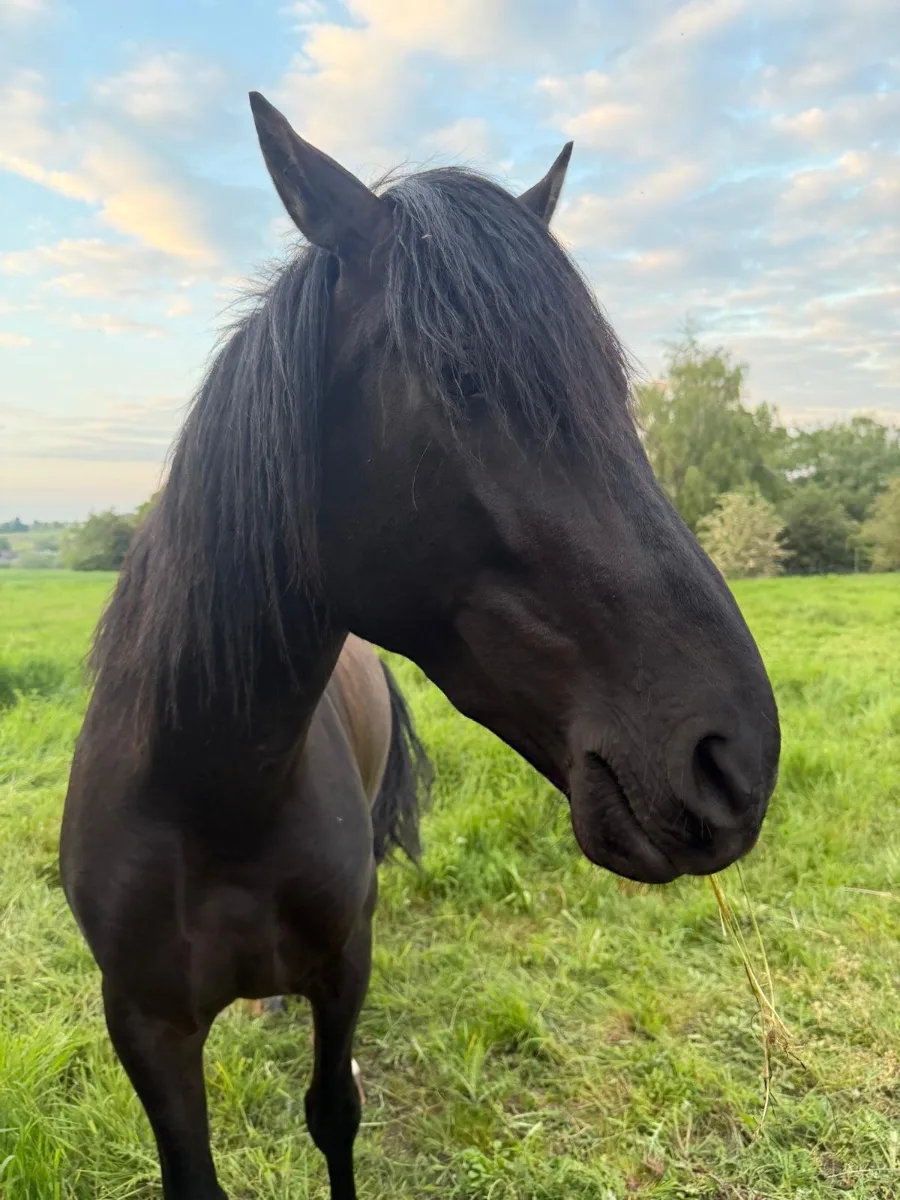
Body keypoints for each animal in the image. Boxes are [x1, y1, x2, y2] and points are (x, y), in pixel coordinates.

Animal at [59, 91, 780, 1200]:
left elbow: (334, 1116)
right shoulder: (144, 1026)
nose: (735, 762)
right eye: (465, 382)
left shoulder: (344, 967)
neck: (208, 796)